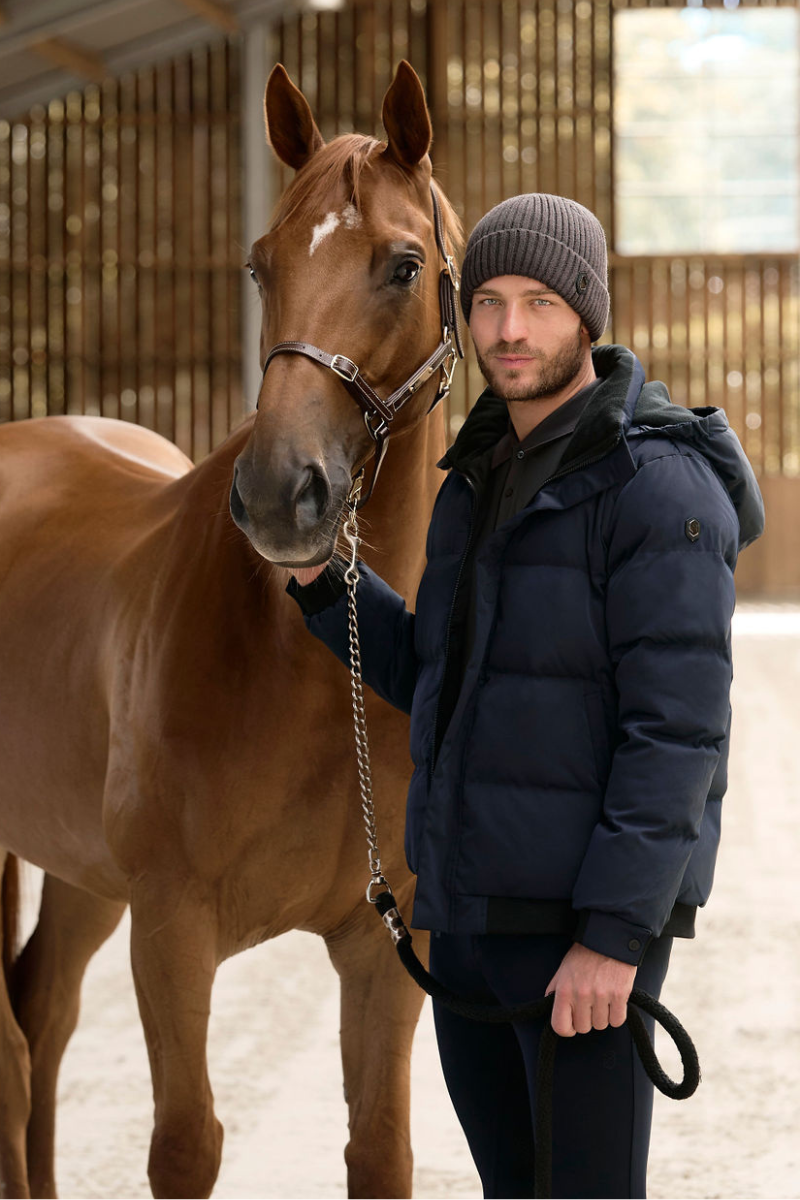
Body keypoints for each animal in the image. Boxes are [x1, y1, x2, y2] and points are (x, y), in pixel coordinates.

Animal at [0, 61, 462, 1199]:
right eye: (260, 266)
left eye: (402, 265)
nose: (278, 497)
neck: (312, 677)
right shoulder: (171, 931)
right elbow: (185, 1146)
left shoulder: (382, 942)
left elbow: (380, 1147)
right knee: (14, 1054)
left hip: (79, 872)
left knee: (41, 1013)